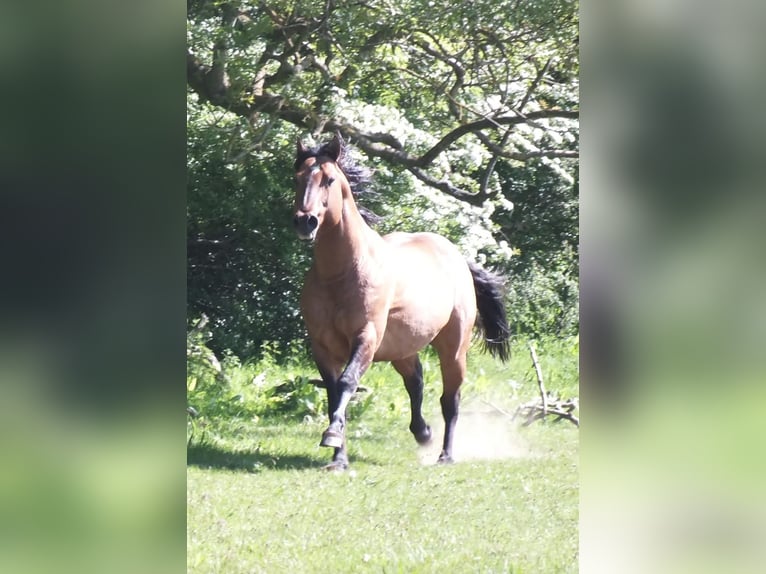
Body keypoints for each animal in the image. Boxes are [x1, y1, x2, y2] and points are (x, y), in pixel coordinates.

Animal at [292, 133, 510, 470]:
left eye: (329, 179)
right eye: (297, 178)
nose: (306, 221)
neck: (342, 274)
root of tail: (456, 255)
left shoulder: (366, 338)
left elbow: (347, 384)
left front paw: (331, 437)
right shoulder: (322, 346)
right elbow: (334, 395)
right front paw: (338, 457)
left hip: (453, 349)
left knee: (450, 399)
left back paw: (445, 454)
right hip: (402, 349)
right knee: (416, 382)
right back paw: (423, 433)